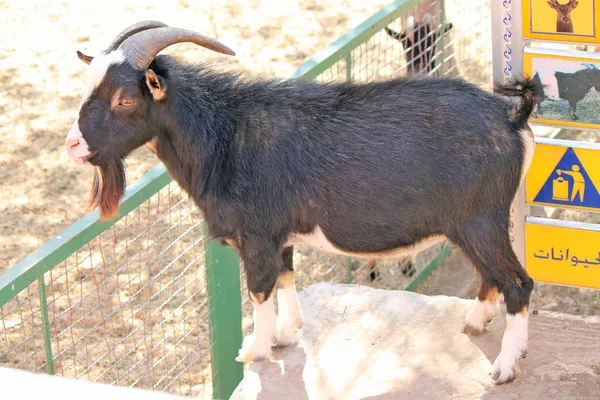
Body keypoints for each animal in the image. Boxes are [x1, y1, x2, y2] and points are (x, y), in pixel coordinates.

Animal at [67, 21, 544, 384]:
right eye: (87, 90)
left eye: (126, 99)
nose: (72, 144)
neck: (224, 134)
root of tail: (511, 116)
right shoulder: (279, 235)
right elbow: (286, 277)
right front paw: (285, 333)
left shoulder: (257, 236)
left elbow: (259, 289)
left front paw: (255, 349)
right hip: (477, 224)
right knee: (491, 276)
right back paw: (475, 323)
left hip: (480, 220)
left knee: (517, 282)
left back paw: (505, 366)